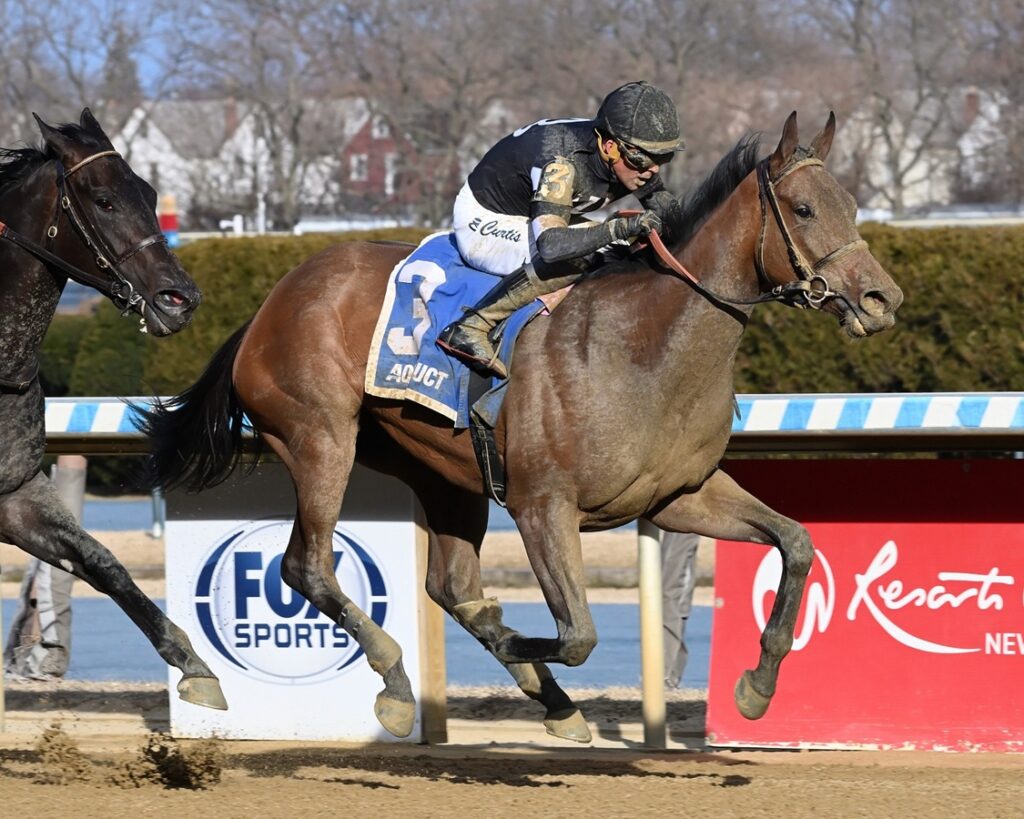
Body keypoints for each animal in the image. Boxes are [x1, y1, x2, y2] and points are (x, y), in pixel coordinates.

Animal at [0, 108, 226, 708]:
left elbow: (100, 561)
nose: (180, 299)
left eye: (149, 193)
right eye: (102, 199)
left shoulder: (15, 493)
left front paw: (194, 664)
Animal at [146, 112, 905, 737]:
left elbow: (797, 542)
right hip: (322, 439)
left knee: (449, 586)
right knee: (307, 565)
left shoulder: (678, 496)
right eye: (803, 207)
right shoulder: (544, 505)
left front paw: (756, 685)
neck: (645, 345)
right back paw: (398, 680)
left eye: (850, 205)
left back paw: (548, 701)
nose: (882, 298)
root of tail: (267, 308)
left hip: (440, 470)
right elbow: (577, 635)